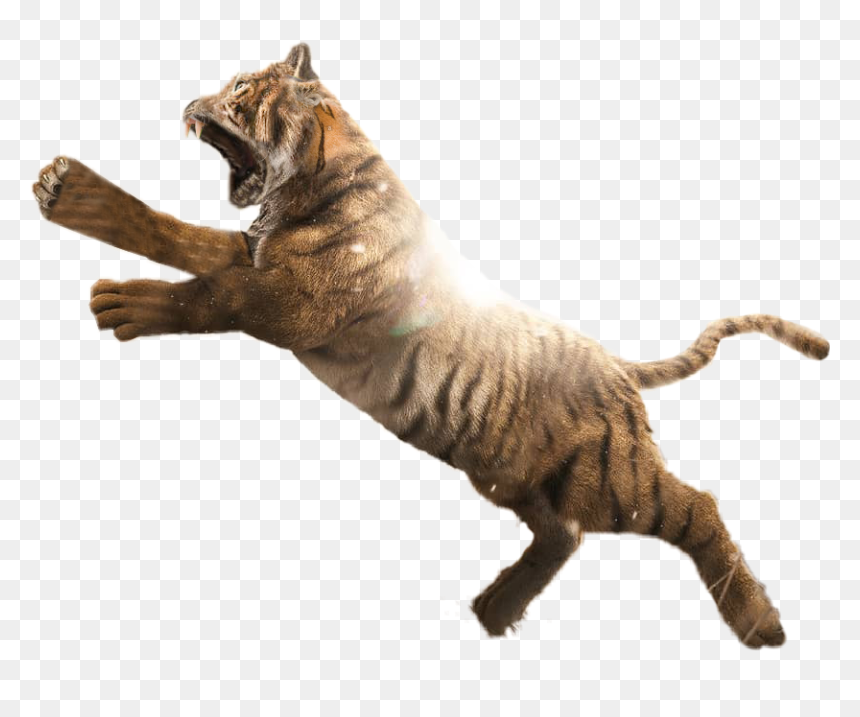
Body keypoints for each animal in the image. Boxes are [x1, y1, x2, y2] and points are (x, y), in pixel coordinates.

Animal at [32, 43, 829, 648]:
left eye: (241, 88)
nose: (190, 104)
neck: (298, 187)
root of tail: (616, 367)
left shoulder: (292, 302)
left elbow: (205, 294)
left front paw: (124, 302)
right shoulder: (255, 255)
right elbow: (174, 232)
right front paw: (66, 191)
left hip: (612, 481)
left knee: (696, 506)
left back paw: (759, 624)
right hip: (511, 473)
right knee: (564, 533)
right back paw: (497, 609)